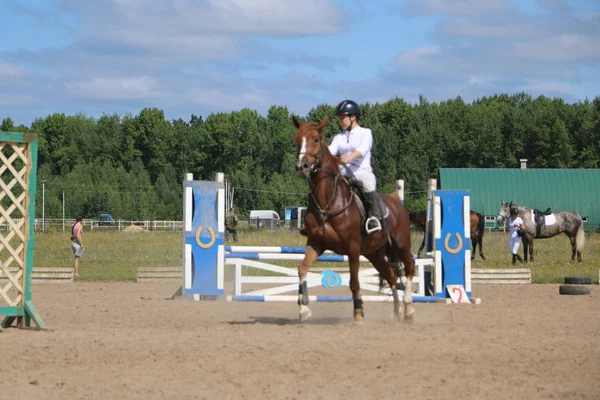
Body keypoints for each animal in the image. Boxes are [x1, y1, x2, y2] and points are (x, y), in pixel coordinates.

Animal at [292, 115, 414, 322]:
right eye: (297, 140)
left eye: (315, 139)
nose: (302, 167)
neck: (328, 201)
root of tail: (397, 202)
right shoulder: (316, 243)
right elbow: (302, 268)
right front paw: (303, 309)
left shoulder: (353, 247)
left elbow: (354, 282)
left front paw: (358, 312)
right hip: (374, 253)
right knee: (391, 276)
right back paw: (397, 312)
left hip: (401, 245)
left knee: (410, 268)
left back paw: (408, 308)